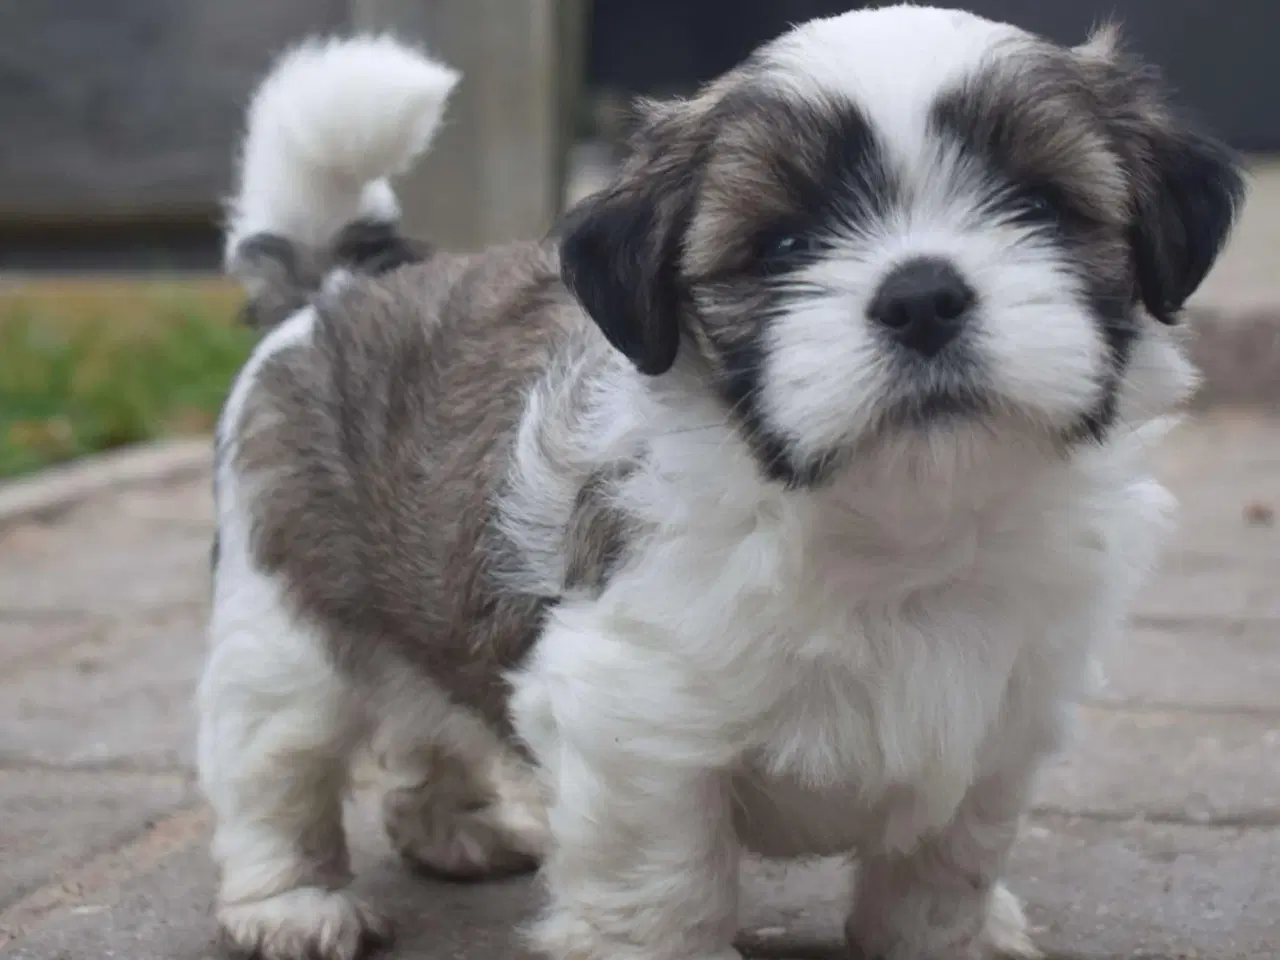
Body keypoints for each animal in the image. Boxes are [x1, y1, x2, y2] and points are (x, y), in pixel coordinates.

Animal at [194, 7, 1244, 960]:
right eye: (783, 248)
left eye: (1038, 208)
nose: (921, 296)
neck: (898, 526)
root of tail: (334, 291)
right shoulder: (633, 721)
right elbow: (663, 886)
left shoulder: (1001, 720)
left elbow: (946, 864)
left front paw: (948, 938)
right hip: (280, 622)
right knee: (274, 762)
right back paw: (292, 901)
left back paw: (455, 830)